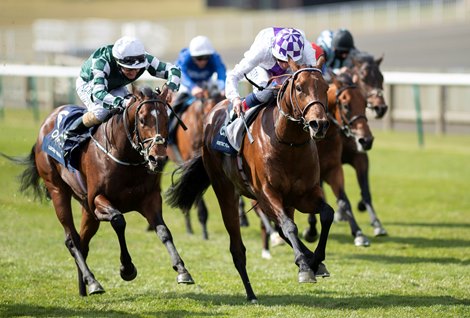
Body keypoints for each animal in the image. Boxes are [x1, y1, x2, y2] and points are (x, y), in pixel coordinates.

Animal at [16, 85, 193, 296]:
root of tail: (48, 120)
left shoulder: (149, 199)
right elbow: (118, 220)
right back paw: (93, 282)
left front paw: (182, 270)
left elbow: (163, 231)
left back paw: (83, 287)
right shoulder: (97, 200)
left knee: (83, 242)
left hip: (87, 210)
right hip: (57, 190)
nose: (157, 159)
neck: (125, 156)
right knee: (72, 240)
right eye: (142, 119)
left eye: (166, 118)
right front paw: (127, 268)